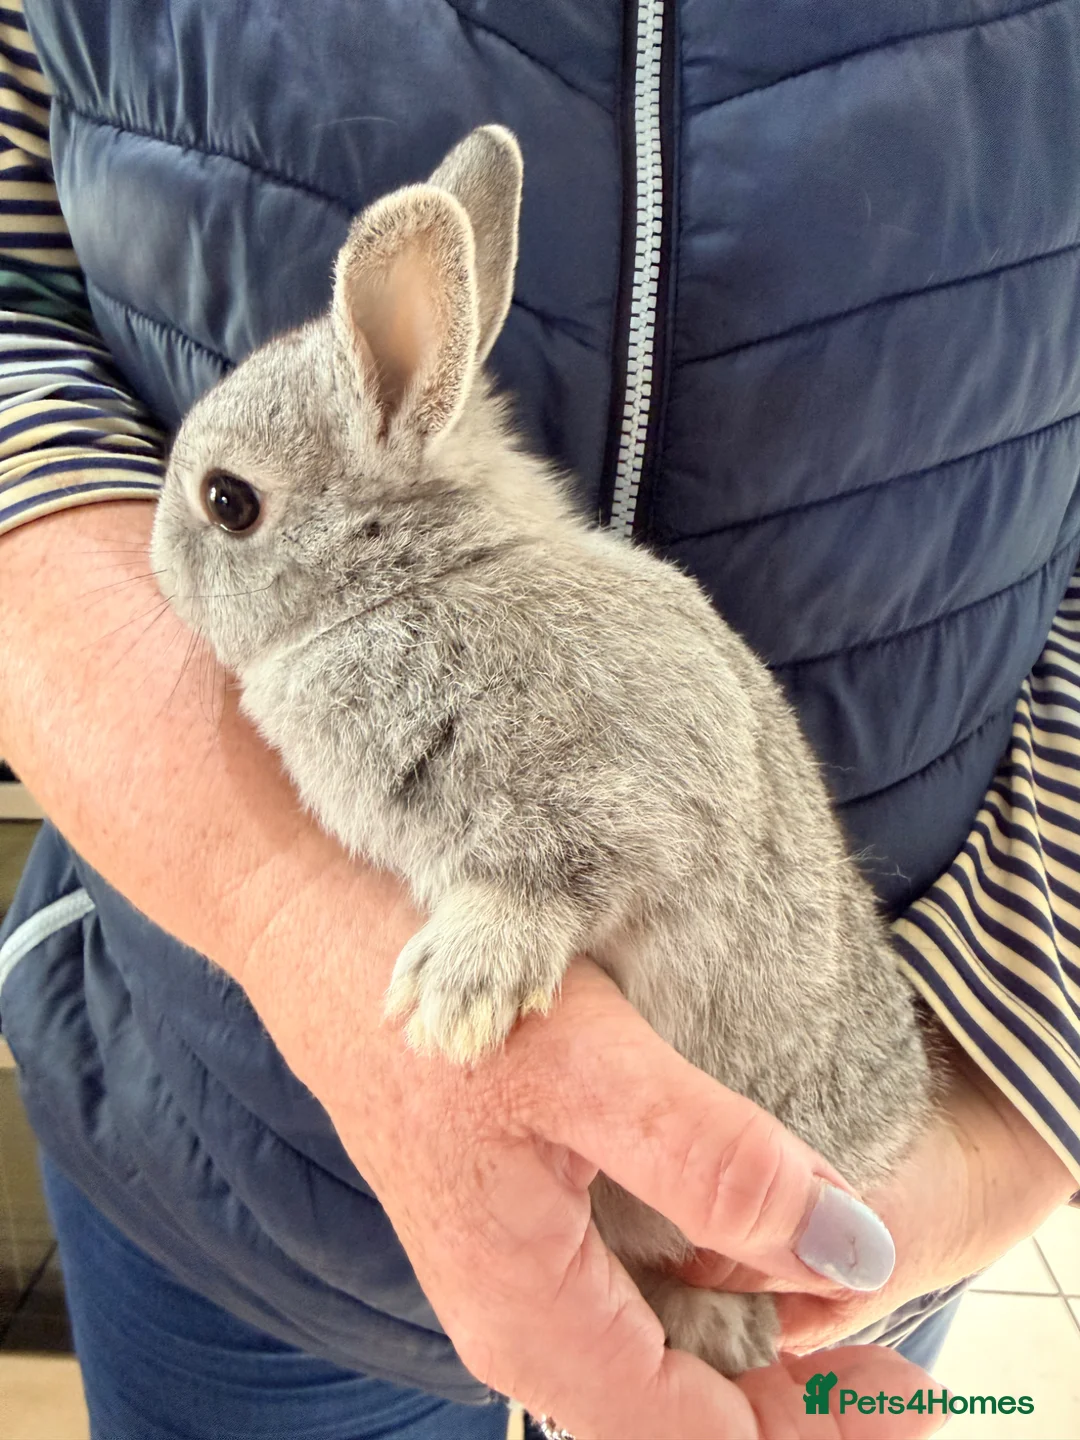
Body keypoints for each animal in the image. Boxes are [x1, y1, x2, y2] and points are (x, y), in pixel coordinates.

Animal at [151, 125, 932, 1379]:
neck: (420, 579)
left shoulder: (619, 805)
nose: (154, 558)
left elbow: (554, 880)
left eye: (229, 502)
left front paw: (455, 996)